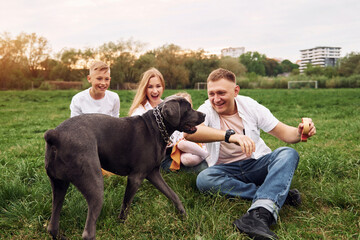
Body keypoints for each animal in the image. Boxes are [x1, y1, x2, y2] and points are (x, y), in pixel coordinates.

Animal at [43, 96, 205, 239]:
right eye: (188, 108)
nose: (203, 114)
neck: (157, 127)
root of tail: (56, 135)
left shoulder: (153, 174)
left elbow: (173, 194)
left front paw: (183, 214)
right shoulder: (135, 177)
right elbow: (126, 204)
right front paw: (121, 224)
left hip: (59, 185)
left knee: (52, 226)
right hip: (95, 185)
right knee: (88, 232)